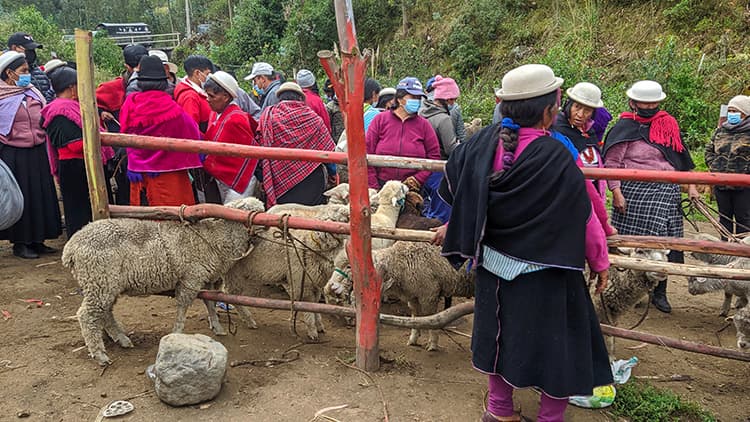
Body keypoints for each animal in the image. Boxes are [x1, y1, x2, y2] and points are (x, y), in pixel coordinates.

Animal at [63, 196, 266, 364]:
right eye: (252, 213)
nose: (267, 227)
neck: (215, 236)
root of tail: (70, 248)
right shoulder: (191, 278)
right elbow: (183, 307)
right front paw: (177, 333)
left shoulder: (206, 277)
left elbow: (209, 302)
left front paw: (217, 326)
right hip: (98, 280)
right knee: (87, 315)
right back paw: (99, 354)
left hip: (105, 284)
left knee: (105, 313)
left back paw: (122, 339)